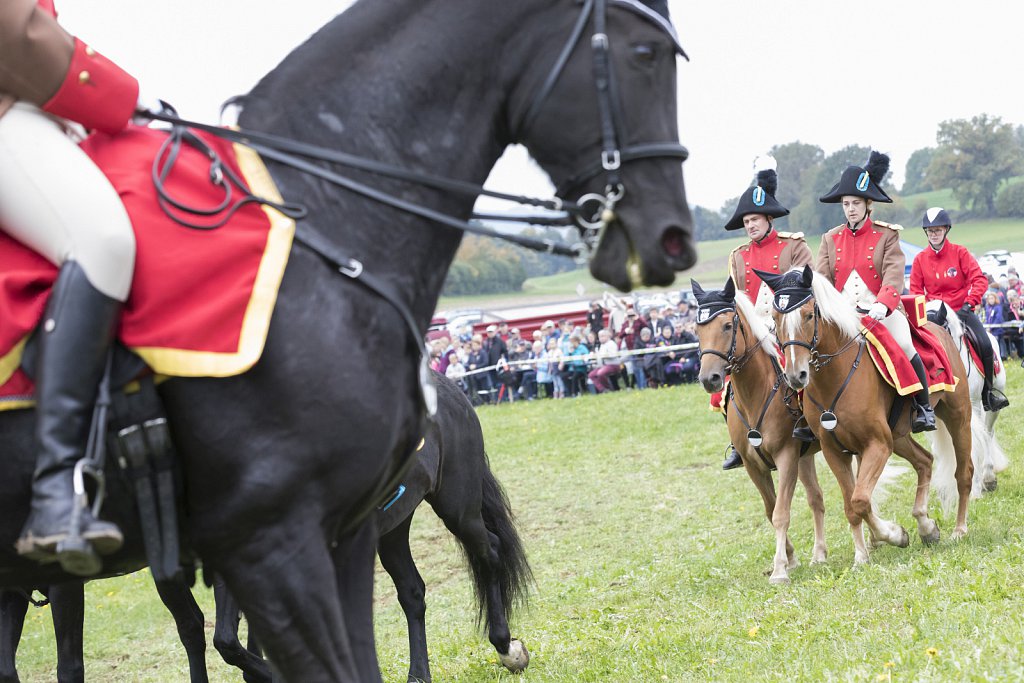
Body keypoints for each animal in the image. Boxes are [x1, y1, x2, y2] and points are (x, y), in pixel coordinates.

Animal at [0, 0, 696, 679]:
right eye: (646, 53)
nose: (670, 235)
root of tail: (453, 390)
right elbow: (210, 637)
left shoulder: (266, 541)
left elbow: (222, 638)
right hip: (387, 526)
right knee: (413, 587)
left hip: (450, 500)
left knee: (486, 547)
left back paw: (505, 643)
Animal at [692, 280, 827, 585]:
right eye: (697, 329)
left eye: (727, 325)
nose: (709, 379)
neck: (756, 393)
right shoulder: (754, 466)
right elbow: (770, 509)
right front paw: (791, 558)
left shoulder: (787, 457)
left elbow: (781, 513)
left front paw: (779, 569)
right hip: (805, 457)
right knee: (816, 498)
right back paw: (819, 554)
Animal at [765, 266, 970, 565]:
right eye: (774, 317)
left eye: (808, 314)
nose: (795, 375)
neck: (835, 377)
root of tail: (937, 328)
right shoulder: (835, 451)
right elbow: (852, 505)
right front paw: (862, 556)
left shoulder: (877, 444)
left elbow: (861, 499)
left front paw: (894, 534)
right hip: (898, 436)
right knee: (924, 461)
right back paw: (926, 526)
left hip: (958, 416)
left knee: (964, 472)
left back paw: (959, 529)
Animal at [929, 301, 1007, 499]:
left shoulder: (973, 407)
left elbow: (973, 444)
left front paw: (974, 488)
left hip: (992, 408)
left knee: (987, 434)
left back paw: (988, 477)